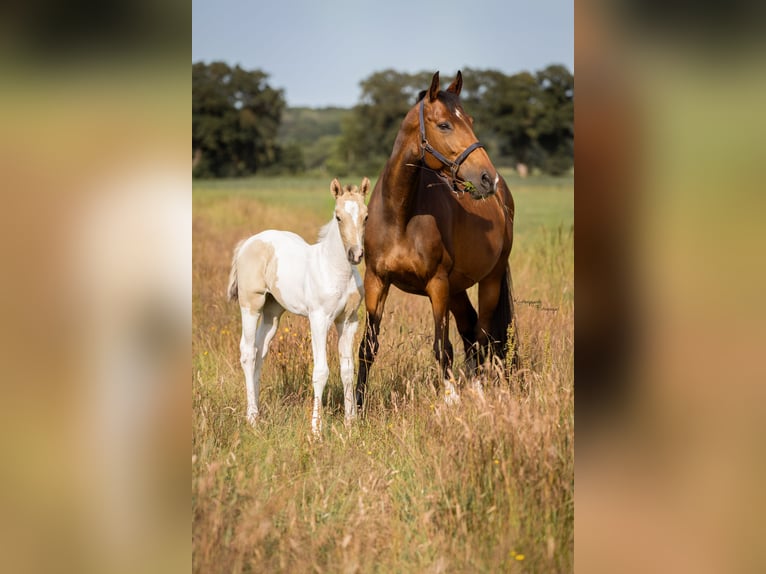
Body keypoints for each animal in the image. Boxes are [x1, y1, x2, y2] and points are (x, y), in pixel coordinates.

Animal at [228, 177, 369, 434]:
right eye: (338, 217)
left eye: (365, 216)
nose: (355, 254)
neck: (337, 271)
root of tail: (249, 242)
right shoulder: (319, 319)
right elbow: (321, 372)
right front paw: (316, 429)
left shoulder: (348, 321)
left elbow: (347, 370)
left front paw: (350, 423)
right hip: (251, 304)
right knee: (248, 352)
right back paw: (251, 417)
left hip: (272, 313)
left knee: (260, 351)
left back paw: (258, 412)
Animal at [356, 71, 517, 409]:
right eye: (444, 124)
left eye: (470, 120)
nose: (488, 178)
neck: (400, 215)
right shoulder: (376, 281)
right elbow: (368, 347)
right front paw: (356, 408)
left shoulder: (437, 285)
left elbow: (442, 348)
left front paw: (451, 400)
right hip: (458, 288)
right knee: (470, 329)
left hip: (490, 280)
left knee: (482, 335)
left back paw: (478, 392)